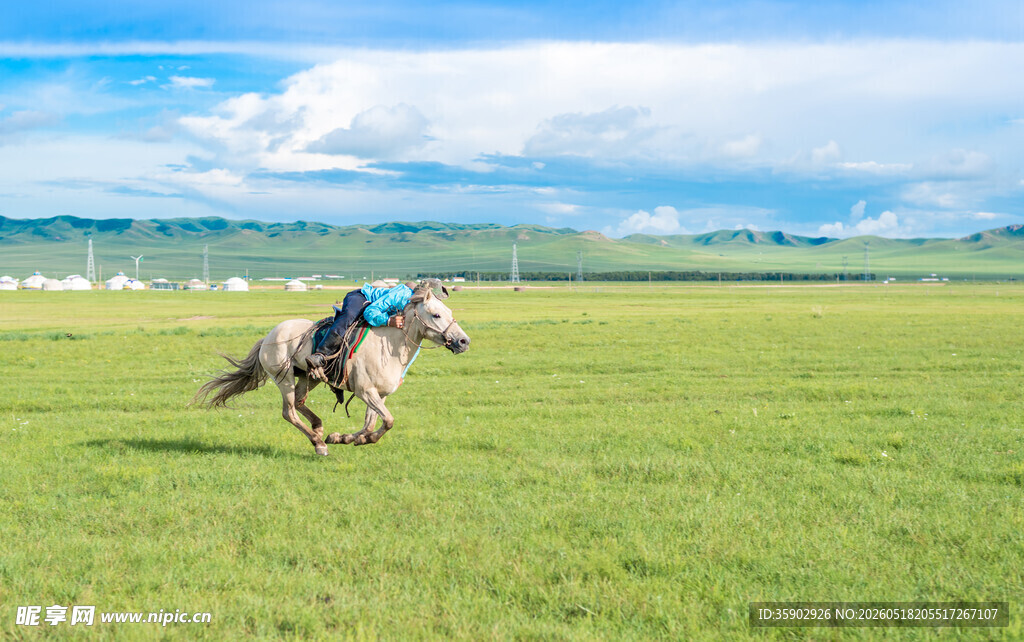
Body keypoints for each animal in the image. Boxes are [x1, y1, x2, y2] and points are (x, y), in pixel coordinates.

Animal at [191, 281, 471, 455]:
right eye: (436, 314)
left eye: (449, 312)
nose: (463, 341)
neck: (390, 346)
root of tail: (268, 337)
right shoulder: (366, 392)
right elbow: (387, 421)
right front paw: (347, 439)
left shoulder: (378, 395)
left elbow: (371, 424)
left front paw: (346, 438)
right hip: (284, 379)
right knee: (289, 411)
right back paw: (318, 443)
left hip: (308, 377)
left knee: (300, 403)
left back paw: (319, 429)